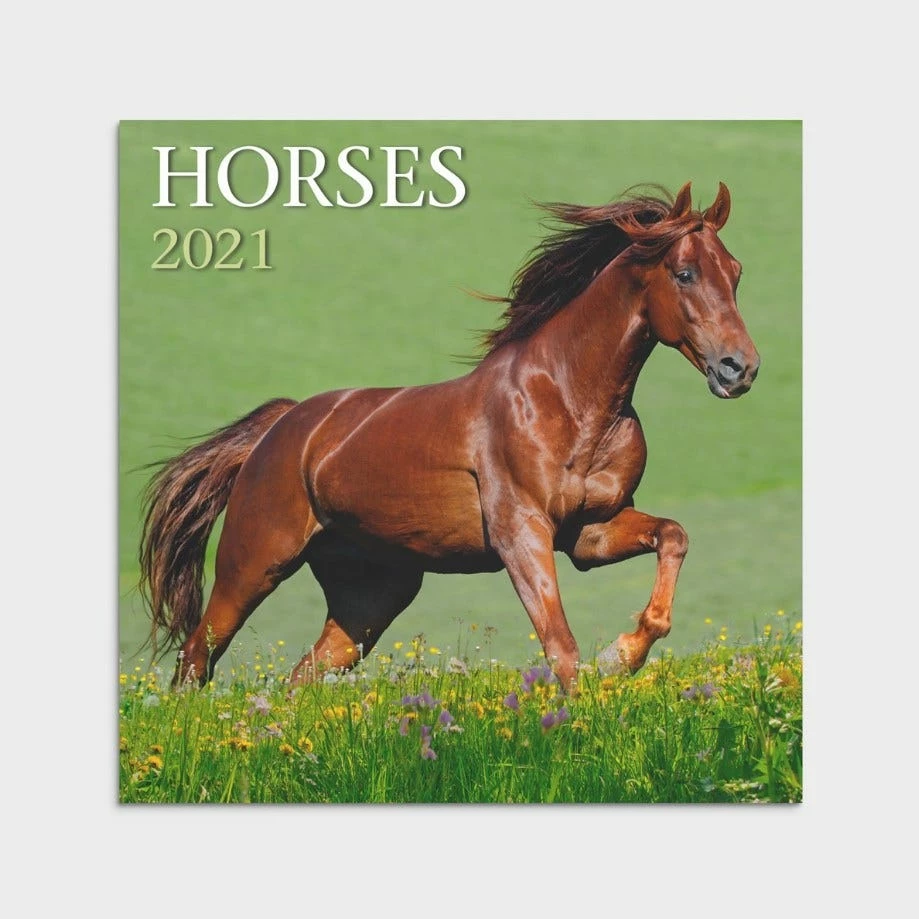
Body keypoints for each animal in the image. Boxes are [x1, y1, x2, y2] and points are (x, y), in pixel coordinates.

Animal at [139, 181, 760, 691]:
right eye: (684, 273)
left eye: (735, 273)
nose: (740, 369)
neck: (569, 401)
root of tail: (283, 427)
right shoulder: (521, 533)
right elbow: (560, 646)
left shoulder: (589, 533)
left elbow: (673, 537)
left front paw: (622, 656)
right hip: (254, 564)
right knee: (196, 658)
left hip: (371, 595)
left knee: (301, 678)